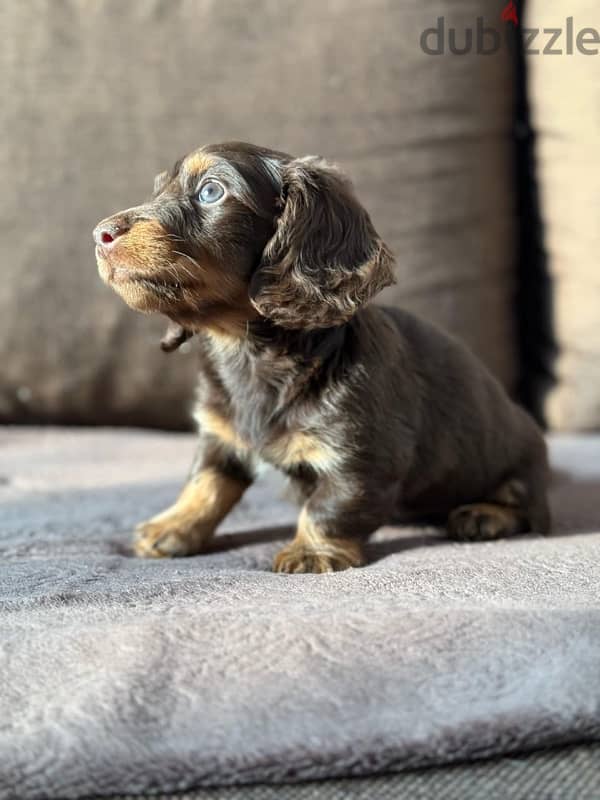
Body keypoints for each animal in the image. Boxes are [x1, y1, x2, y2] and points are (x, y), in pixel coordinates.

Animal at [92, 141, 548, 572]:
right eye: (157, 190)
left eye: (211, 191)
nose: (100, 234)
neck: (246, 350)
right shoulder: (221, 436)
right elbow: (205, 482)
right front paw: (172, 527)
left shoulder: (361, 455)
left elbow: (331, 506)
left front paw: (311, 551)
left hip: (519, 464)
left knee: (527, 505)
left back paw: (483, 515)